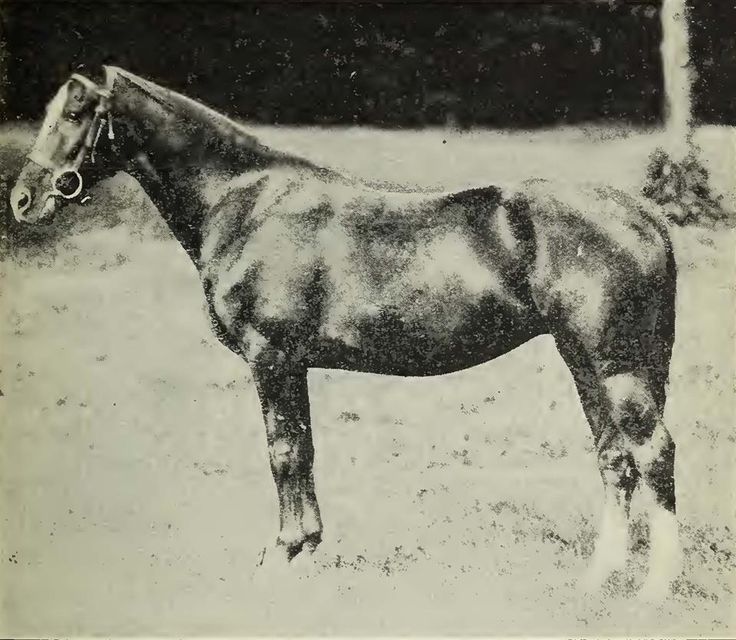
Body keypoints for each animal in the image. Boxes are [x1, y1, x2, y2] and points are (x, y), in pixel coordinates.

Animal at [8, 67, 680, 596]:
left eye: (75, 113)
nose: (23, 200)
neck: (245, 204)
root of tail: (643, 213)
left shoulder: (271, 356)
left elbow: (283, 450)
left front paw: (283, 553)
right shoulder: (292, 364)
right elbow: (304, 448)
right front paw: (307, 545)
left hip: (617, 367)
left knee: (655, 452)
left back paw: (657, 589)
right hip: (584, 362)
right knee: (615, 459)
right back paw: (598, 580)